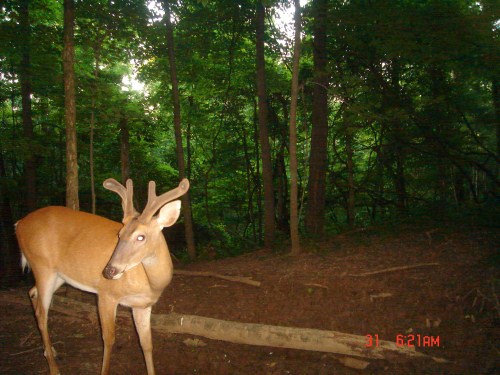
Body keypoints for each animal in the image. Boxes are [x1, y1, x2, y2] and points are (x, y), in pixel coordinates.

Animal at [15, 177, 190, 375]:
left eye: (141, 237)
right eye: (119, 234)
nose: (109, 271)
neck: (151, 284)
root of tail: (19, 224)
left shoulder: (143, 305)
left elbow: (146, 344)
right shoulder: (106, 294)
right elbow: (109, 339)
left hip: (58, 275)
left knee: (32, 292)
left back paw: (49, 350)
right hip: (42, 266)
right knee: (41, 313)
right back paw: (54, 368)